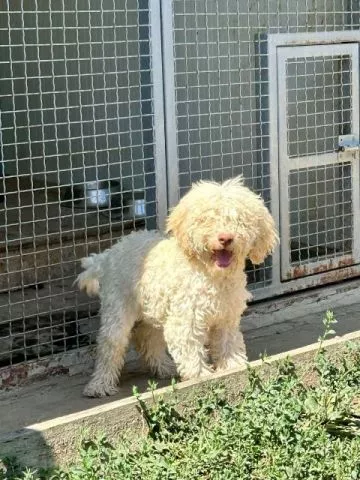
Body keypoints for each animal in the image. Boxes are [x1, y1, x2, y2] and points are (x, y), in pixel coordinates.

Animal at [76, 176, 278, 398]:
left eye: (239, 220)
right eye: (207, 219)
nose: (225, 238)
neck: (211, 275)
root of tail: (108, 254)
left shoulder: (226, 318)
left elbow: (228, 345)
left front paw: (235, 368)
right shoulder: (185, 320)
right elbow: (191, 351)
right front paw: (202, 377)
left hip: (153, 309)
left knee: (148, 338)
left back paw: (165, 367)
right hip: (118, 309)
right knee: (110, 345)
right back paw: (99, 385)